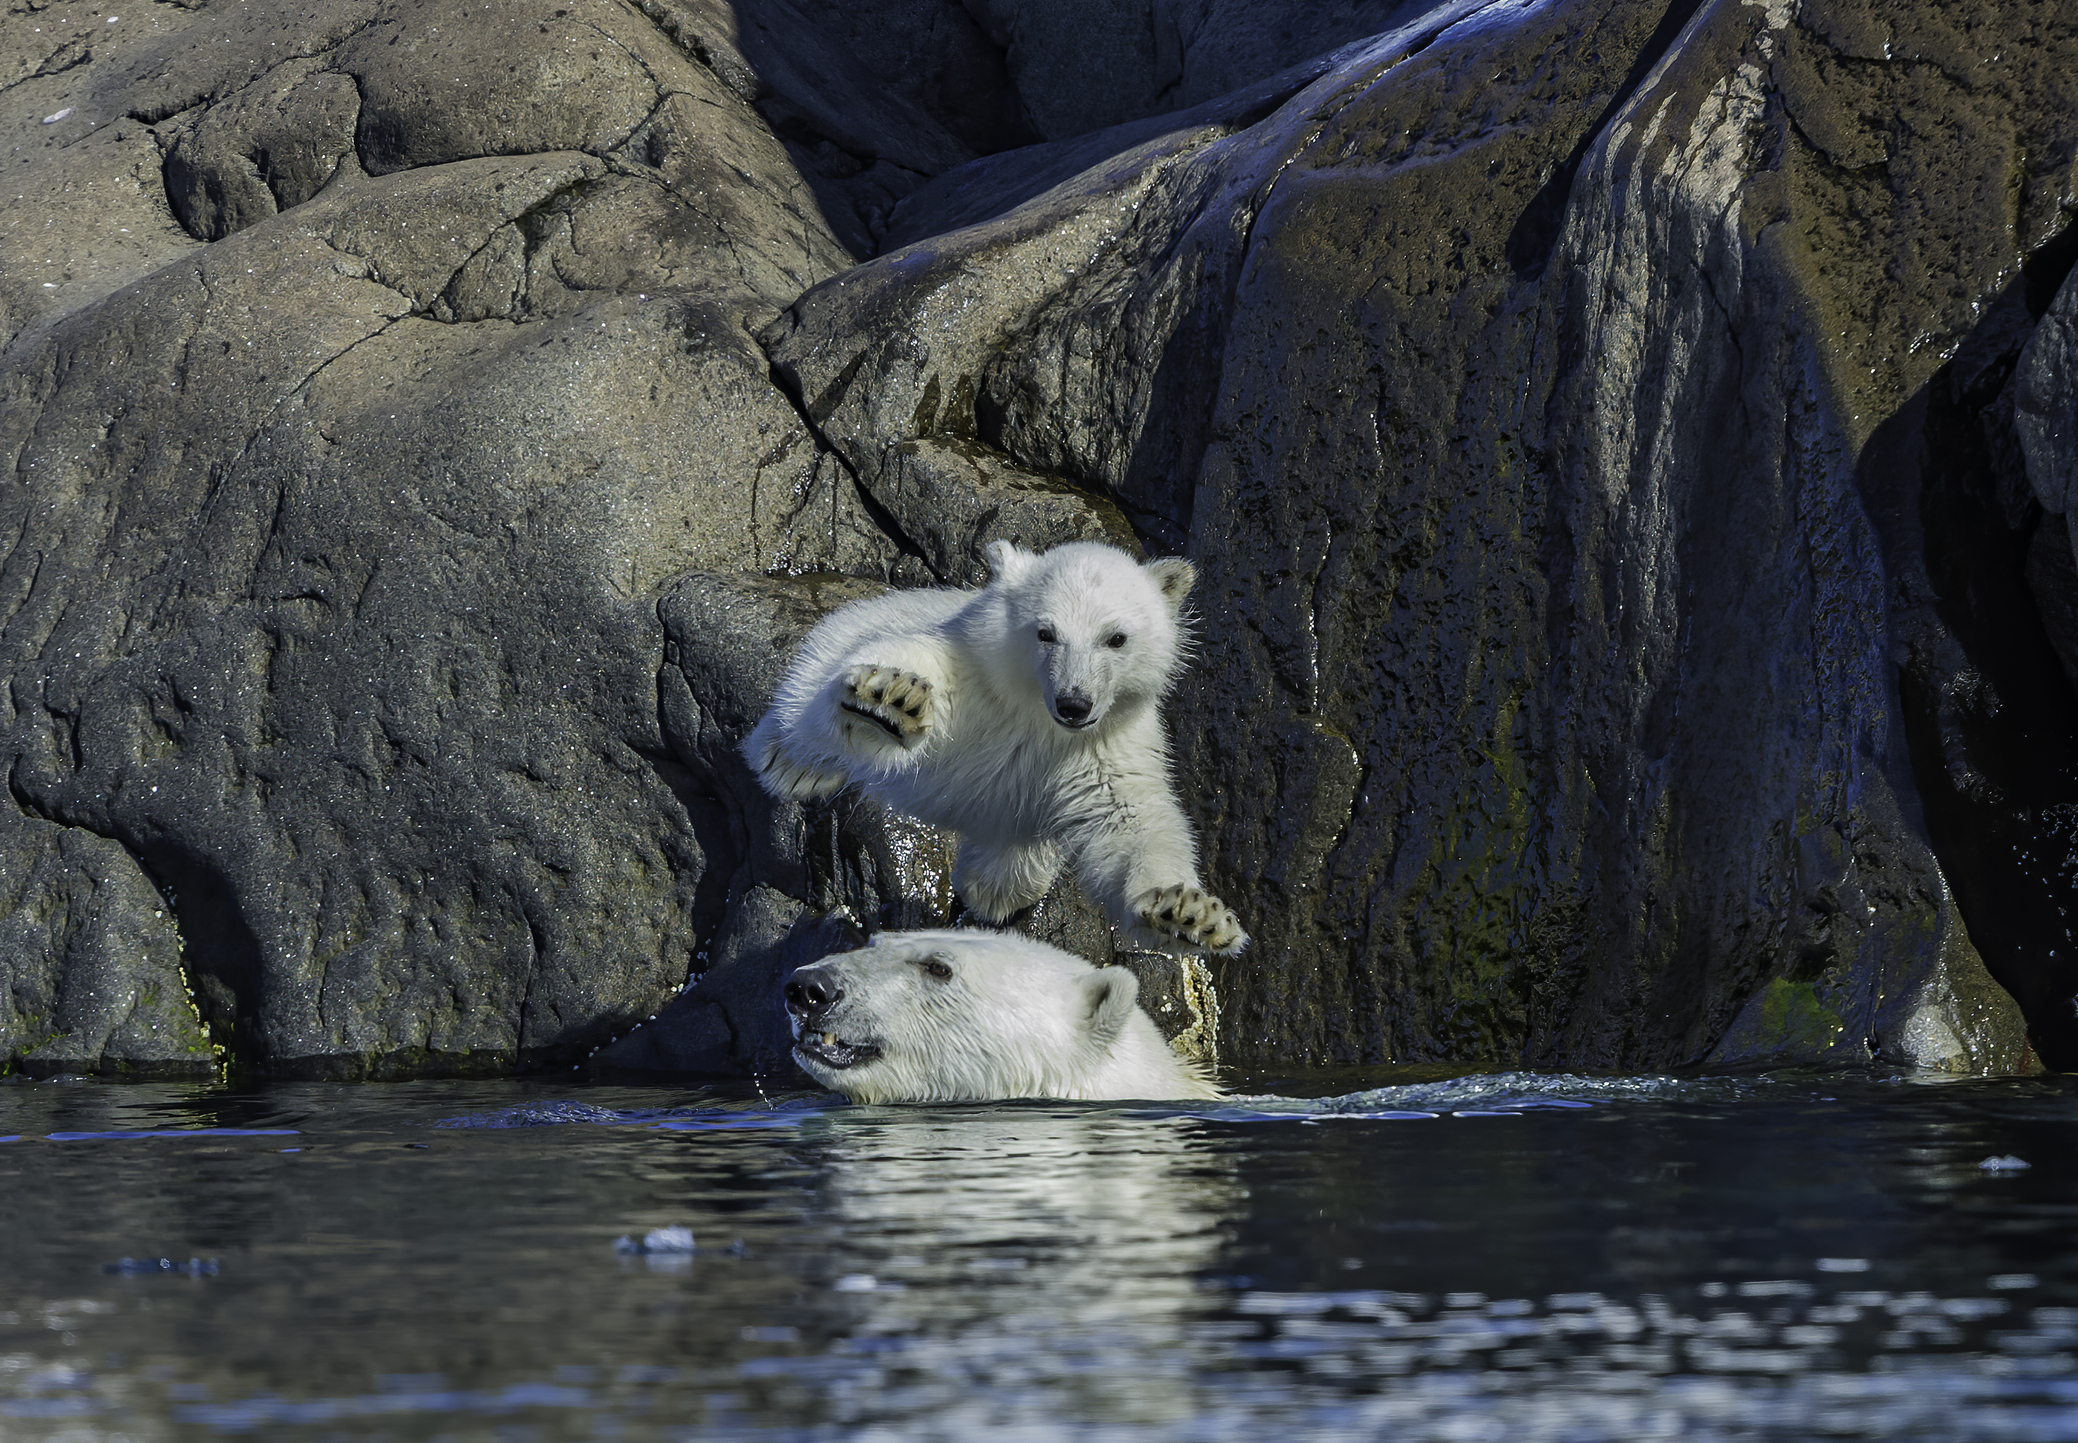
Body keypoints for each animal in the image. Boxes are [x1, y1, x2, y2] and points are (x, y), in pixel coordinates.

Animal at [742, 539, 1247, 955]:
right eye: (1045, 632)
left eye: (1116, 638)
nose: (1074, 703)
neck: (1036, 716)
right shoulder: (972, 677)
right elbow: (919, 665)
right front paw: (891, 699)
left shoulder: (1104, 749)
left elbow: (1131, 823)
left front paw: (1188, 915)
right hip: (838, 639)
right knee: (810, 709)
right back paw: (790, 761)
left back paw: (994, 891)